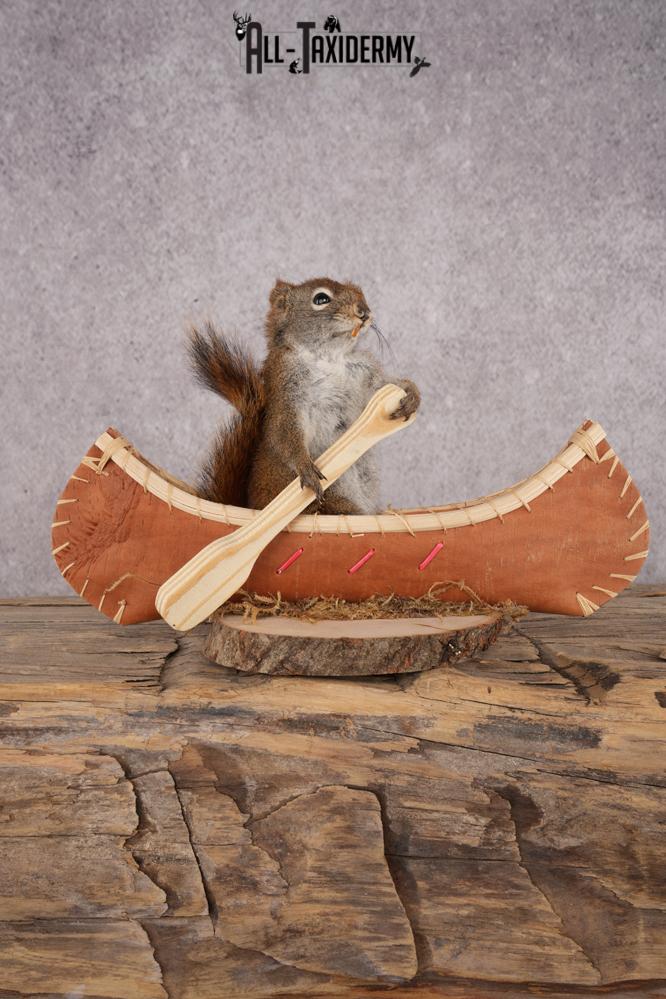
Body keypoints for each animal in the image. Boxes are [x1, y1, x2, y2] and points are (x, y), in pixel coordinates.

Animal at [188, 277, 421, 516]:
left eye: (361, 293)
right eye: (321, 299)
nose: (364, 312)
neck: (329, 357)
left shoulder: (365, 376)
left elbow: (381, 388)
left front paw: (411, 394)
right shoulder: (286, 389)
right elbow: (284, 432)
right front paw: (305, 466)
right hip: (330, 502)